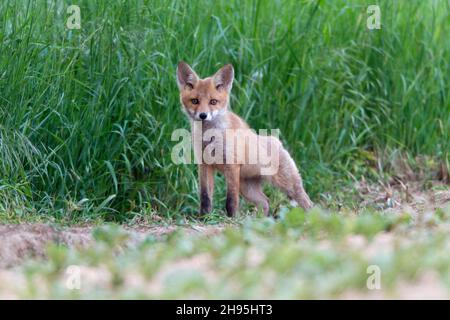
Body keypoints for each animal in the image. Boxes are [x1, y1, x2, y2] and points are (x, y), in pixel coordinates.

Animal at [176, 61, 312, 216]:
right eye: (195, 101)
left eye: (213, 101)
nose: (203, 115)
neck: (210, 137)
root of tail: (277, 142)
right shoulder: (205, 165)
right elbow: (205, 197)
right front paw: (204, 217)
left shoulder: (231, 165)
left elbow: (231, 201)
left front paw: (231, 218)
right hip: (247, 189)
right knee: (265, 202)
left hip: (288, 186)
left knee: (308, 204)